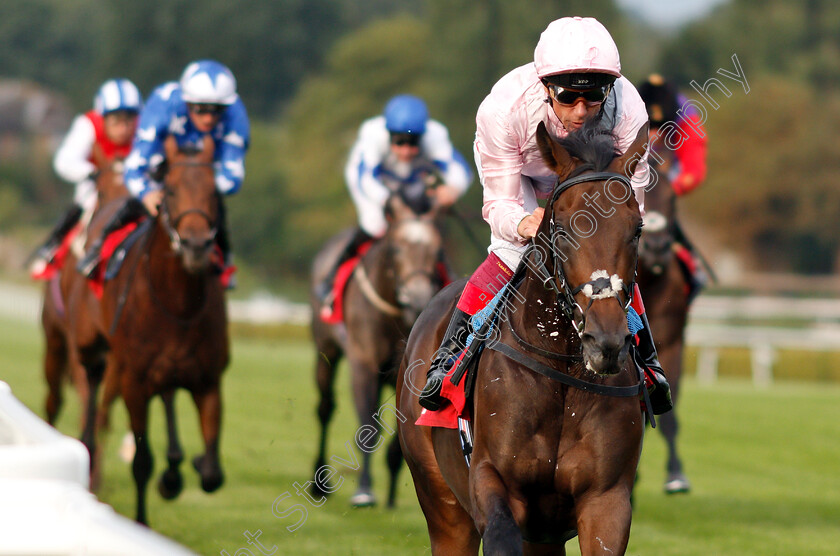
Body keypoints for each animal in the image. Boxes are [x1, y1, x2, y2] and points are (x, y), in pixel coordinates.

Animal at [310, 194, 446, 508]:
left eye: (437, 250)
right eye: (396, 247)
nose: (418, 298)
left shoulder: (409, 374)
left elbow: (401, 439)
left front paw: (393, 496)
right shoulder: (364, 365)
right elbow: (367, 432)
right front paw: (364, 491)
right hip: (325, 350)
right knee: (325, 408)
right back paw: (319, 484)